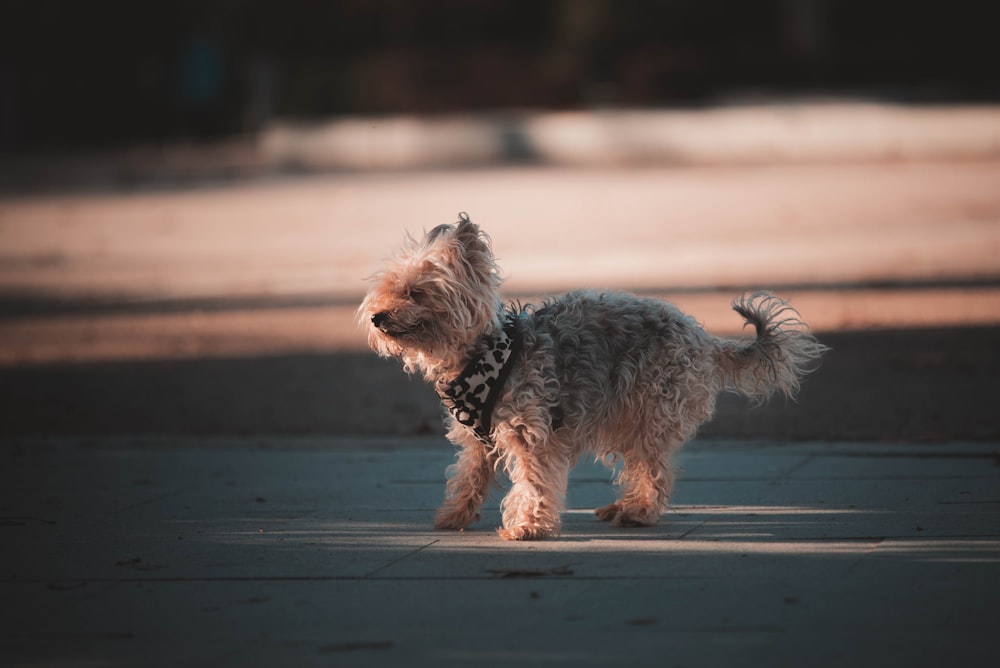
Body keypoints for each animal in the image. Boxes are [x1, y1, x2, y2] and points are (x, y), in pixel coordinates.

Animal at [360, 214, 828, 544]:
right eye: (387, 289)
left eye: (416, 292)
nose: (377, 317)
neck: (481, 355)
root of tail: (704, 338)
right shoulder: (478, 440)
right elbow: (470, 475)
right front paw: (455, 516)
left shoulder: (533, 432)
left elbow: (532, 481)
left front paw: (528, 527)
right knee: (645, 468)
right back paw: (625, 507)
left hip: (648, 411)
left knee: (655, 470)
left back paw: (638, 512)